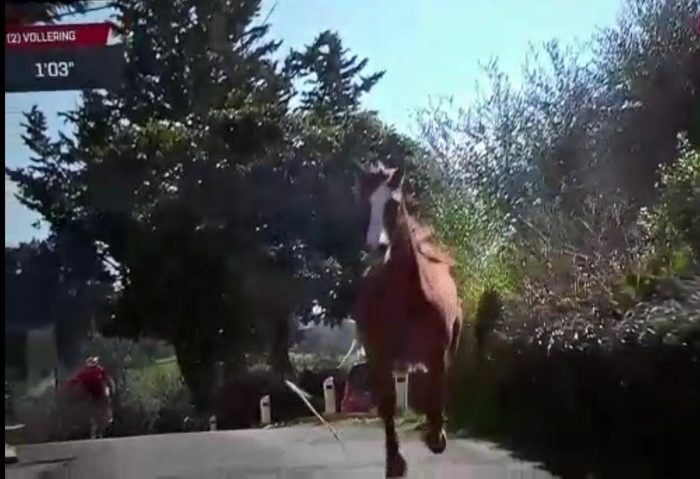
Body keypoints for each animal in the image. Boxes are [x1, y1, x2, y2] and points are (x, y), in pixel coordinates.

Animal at [353, 161, 463, 477]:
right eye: (364, 203)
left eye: (392, 203)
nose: (376, 248)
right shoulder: (379, 356)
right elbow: (387, 404)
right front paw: (394, 463)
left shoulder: (438, 351)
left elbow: (436, 386)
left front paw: (436, 436)